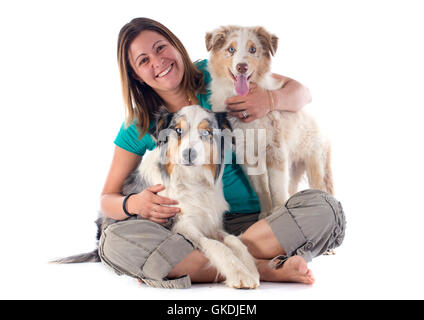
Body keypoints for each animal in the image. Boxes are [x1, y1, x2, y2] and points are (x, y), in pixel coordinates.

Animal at [51, 105, 260, 290]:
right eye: (178, 130)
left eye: (206, 132)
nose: (189, 154)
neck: (191, 179)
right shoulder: (182, 224)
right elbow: (216, 245)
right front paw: (240, 275)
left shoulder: (210, 222)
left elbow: (234, 240)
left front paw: (251, 269)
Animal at [206, 26, 334, 219]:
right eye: (231, 49)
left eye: (253, 49)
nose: (242, 67)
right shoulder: (247, 155)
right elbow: (262, 189)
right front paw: (266, 214)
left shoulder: (276, 151)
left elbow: (276, 188)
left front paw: (277, 210)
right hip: (294, 167)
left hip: (315, 163)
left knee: (319, 188)